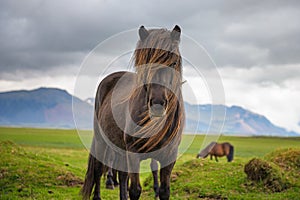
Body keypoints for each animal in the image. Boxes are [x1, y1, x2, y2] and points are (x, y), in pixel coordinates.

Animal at [82, 25, 185, 200]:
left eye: (174, 62)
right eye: (146, 62)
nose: (157, 104)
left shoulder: (169, 156)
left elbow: (164, 191)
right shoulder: (133, 154)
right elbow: (135, 190)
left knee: (122, 174)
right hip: (102, 140)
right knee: (98, 168)